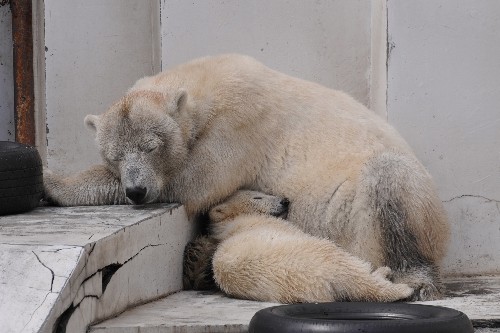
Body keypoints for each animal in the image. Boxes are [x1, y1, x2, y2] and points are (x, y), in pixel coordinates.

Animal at [199, 188, 414, 302]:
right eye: (257, 196)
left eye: (259, 192)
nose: (284, 201)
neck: (230, 223)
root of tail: (318, 278)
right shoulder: (275, 225)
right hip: (318, 252)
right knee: (350, 267)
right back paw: (395, 283)